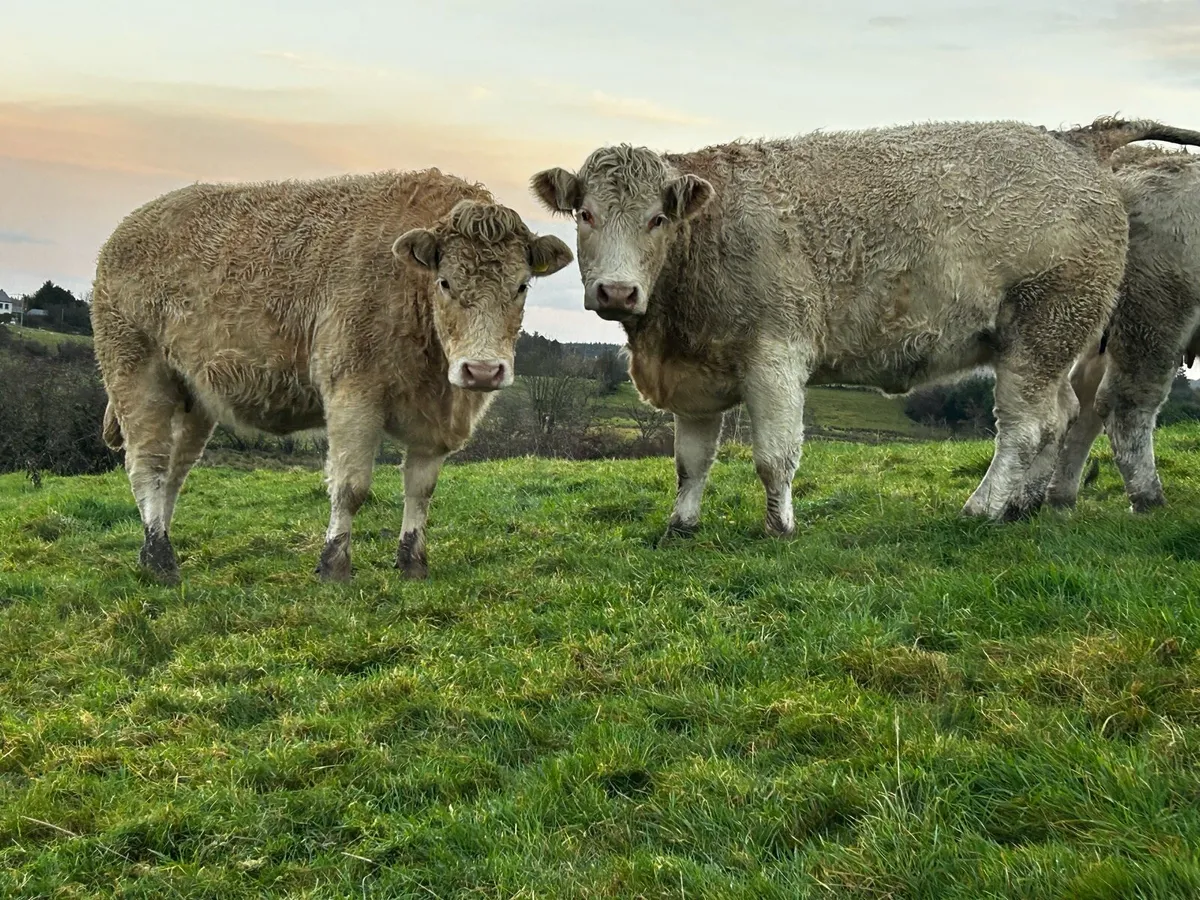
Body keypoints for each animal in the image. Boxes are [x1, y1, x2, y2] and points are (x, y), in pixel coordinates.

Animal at [91, 169, 573, 584]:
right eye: (445, 283)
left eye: (521, 286)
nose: (482, 370)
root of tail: (126, 227)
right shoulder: (352, 394)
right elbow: (351, 487)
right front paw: (334, 565)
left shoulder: (435, 419)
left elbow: (421, 490)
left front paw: (412, 563)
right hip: (136, 372)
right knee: (147, 466)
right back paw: (160, 558)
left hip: (193, 398)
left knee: (174, 472)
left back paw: (156, 545)